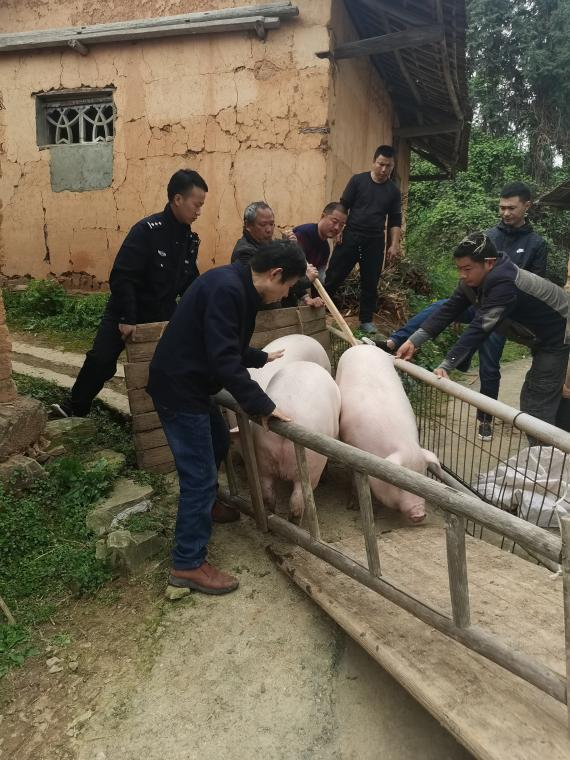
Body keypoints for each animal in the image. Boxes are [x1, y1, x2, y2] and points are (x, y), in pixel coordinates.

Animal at [336, 344, 442, 524]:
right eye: (398, 483)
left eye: (422, 473)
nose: (420, 514)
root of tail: (361, 346)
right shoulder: (349, 446)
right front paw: (353, 506)